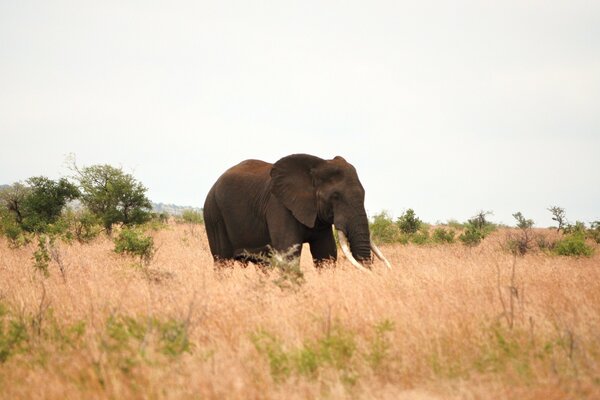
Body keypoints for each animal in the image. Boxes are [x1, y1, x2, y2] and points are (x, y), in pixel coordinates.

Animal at [204, 153, 392, 272]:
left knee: (262, 265)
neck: (317, 166)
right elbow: (289, 253)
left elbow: (326, 254)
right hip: (213, 214)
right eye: (335, 196)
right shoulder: (279, 206)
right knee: (223, 262)